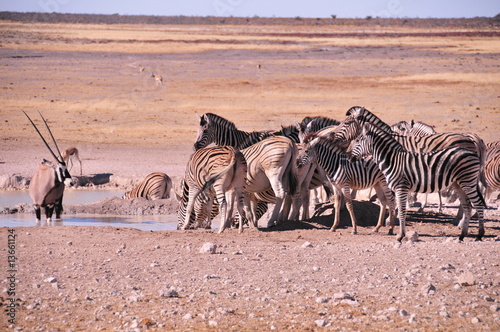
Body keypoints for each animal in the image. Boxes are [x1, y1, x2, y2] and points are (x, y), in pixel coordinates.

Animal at [348, 119, 484, 241]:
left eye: (358, 141)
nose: (349, 158)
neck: (393, 160)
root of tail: (471, 151)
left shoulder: (401, 187)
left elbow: (402, 210)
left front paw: (400, 235)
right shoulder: (399, 188)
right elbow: (399, 208)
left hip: (468, 181)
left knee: (478, 203)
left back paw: (479, 235)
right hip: (459, 184)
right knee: (467, 206)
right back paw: (462, 235)